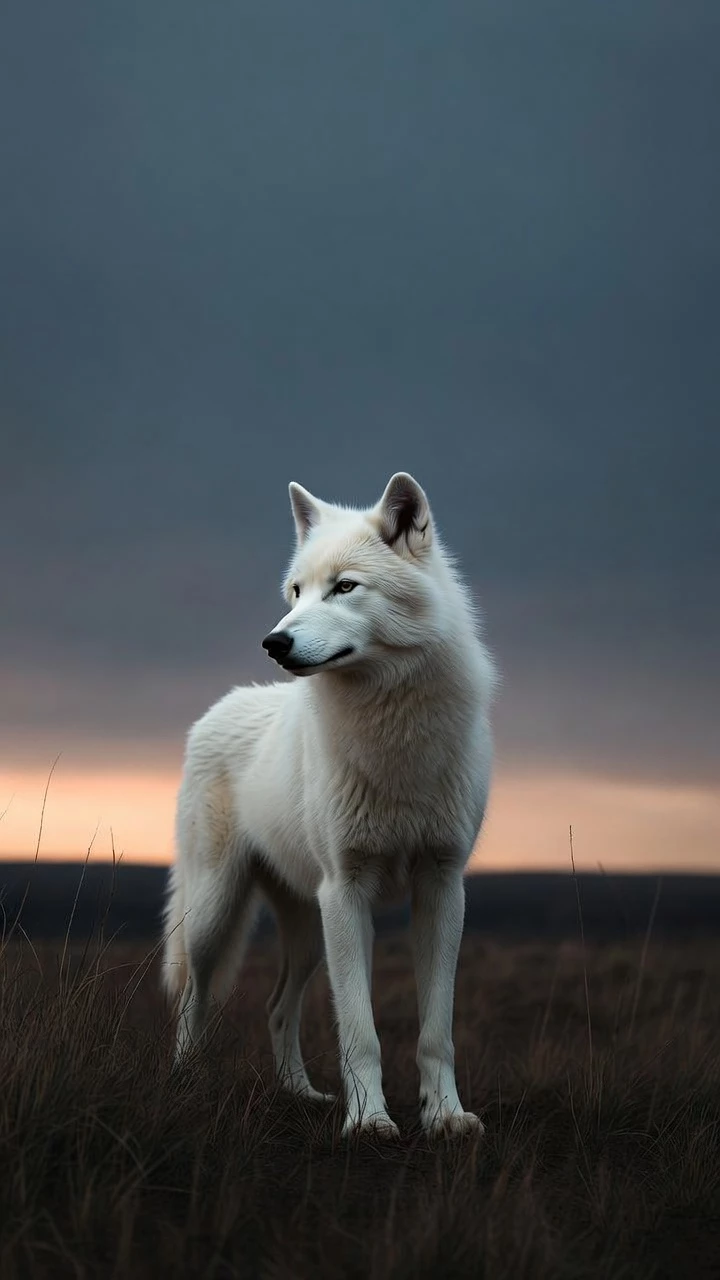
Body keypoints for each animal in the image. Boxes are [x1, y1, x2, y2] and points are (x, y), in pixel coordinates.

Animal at [163, 472, 498, 1139]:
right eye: (296, 591)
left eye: (345, 586)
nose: (274, 641)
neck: (392, 733)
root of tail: (218, 706)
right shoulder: (347, 889)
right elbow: (360, 1032)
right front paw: (368, 1121)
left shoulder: (441, 886)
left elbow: (436, 1032)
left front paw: (445, 1116)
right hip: (219, 912)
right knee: (194, 993)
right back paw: (188, 1082)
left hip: (308, 927)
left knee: (274, 1008)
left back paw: (301, 1094)